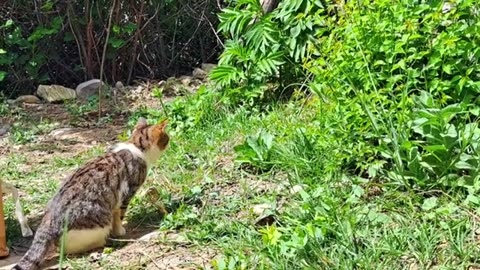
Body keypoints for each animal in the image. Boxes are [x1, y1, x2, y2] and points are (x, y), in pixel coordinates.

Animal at [13, 118, 170, 270]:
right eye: (166, 138)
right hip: (97, 223)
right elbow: (120, 216)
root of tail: (48, 222)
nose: (170, 142)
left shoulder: (116, 200)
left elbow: (116, 214)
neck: (136, 146)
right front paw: (120, 231)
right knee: (68, 248)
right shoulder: (127, 194)